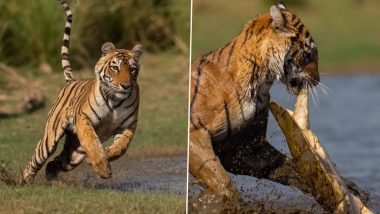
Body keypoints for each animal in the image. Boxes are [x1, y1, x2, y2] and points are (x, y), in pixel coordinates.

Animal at [22, 0, 144, 184]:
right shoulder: (84, 118)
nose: (125, 86)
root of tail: (72, 80)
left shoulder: (128, 125)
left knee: (54, 163)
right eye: (115, 68)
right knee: (34, 161)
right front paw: (102, 166)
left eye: (132, 69)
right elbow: (92, 141)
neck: (115, 100)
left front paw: (107, 154)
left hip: (74, 154)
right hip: (50, 139)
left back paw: (53, 182)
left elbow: (121, 147)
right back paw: (25, 182)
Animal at [189, 2, 320, 199]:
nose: (317, 80)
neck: (261, 82)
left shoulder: (246, 147)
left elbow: (292, 169)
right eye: (309, 54)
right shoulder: (195, 134)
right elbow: (221, 180)